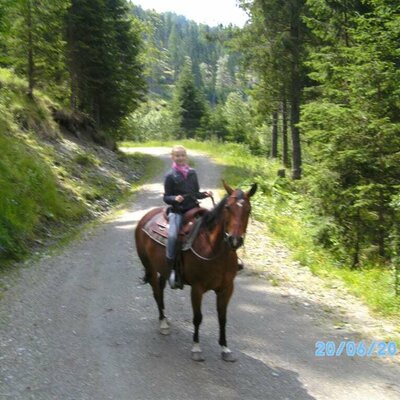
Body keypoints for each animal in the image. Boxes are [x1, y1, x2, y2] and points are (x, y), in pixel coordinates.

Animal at [136, 180, 258, 360]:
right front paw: (196, 348)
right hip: (149, 267)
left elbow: (222, 318)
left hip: (163, 269)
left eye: (248, 210)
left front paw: (225, 348)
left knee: (161, 288)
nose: (234, 240)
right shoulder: (197, 288)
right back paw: (163, 323)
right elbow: (198, 318)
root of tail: (145, 218)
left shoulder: (227, 288)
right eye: (228, 208)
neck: (214, 251)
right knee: (156, 292)